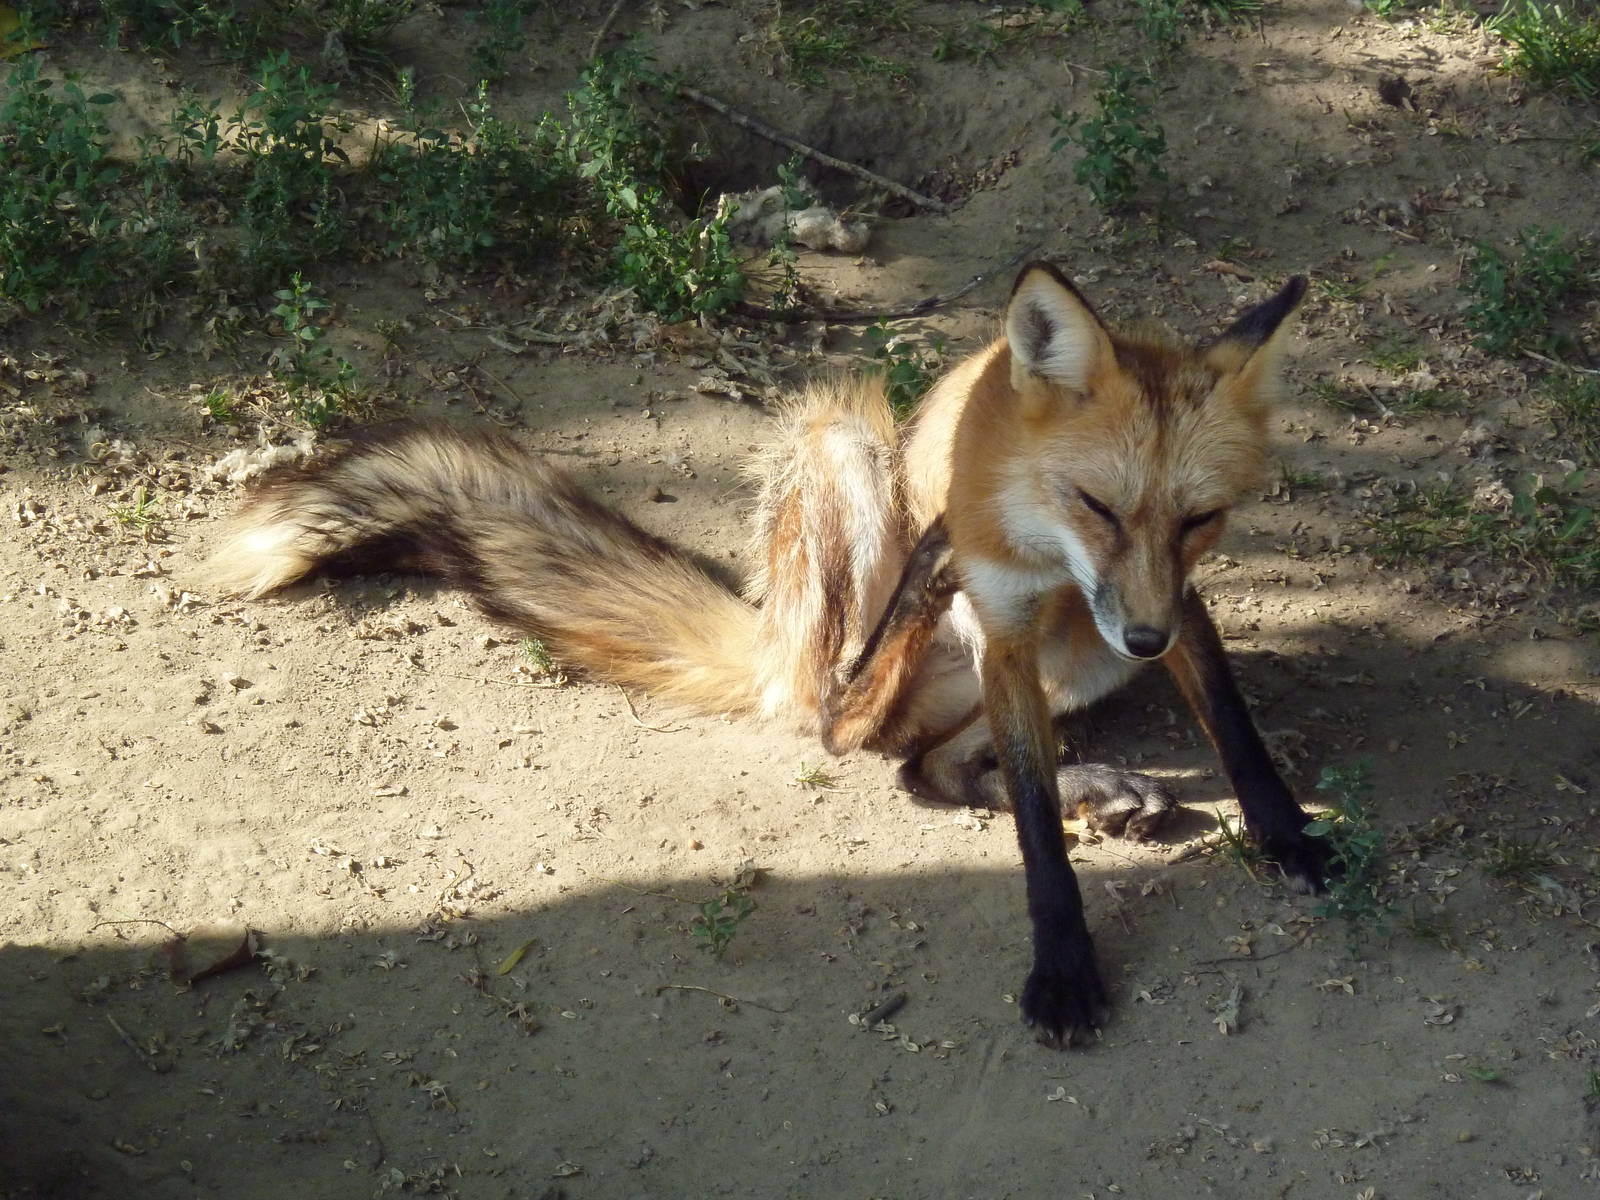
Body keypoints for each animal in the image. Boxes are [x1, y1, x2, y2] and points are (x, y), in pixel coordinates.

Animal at [203, 261, 1327, 1048]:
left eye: (1199, 520)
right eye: (1097, 504)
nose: (1144, 638)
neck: (1042, 537)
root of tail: (771, 646)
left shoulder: (1173, 603)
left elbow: (1232, 731)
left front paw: (1289, 839)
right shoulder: (1013, 616)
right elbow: (1038, 840)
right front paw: (1063, 967)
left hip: (1079, 651)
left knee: (935, 764)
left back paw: (1093, 781)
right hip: (846, 450)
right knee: (849, 720)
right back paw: (916, 624)